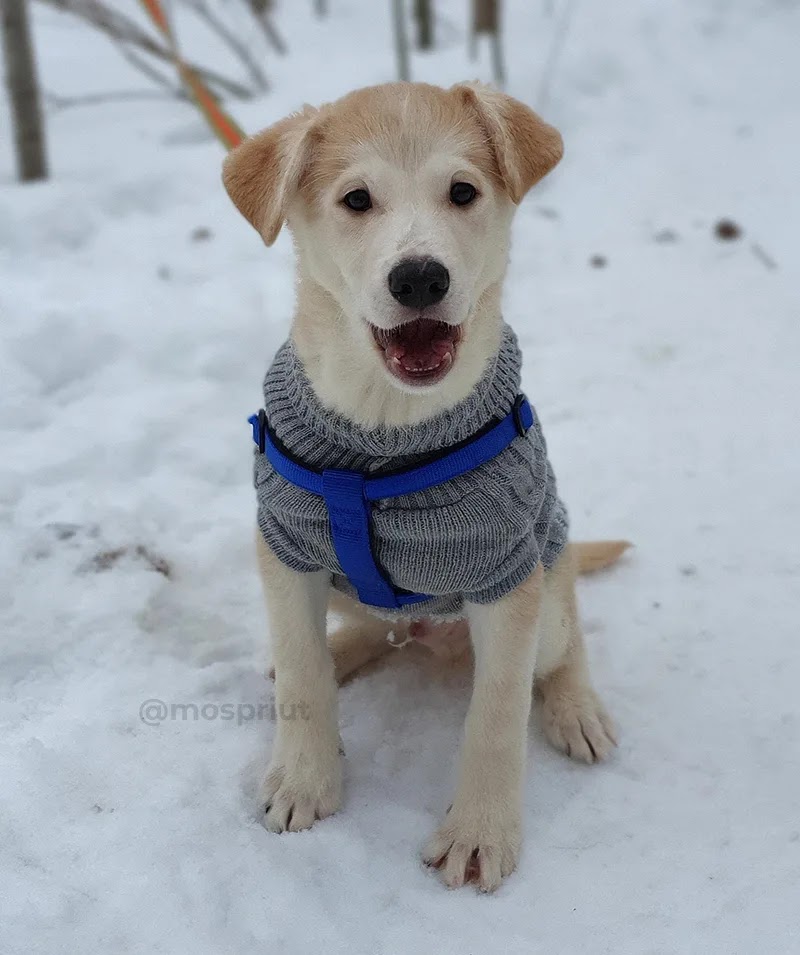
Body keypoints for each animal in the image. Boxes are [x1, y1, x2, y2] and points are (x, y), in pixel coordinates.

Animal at [222, 84, 628, 896]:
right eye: (356, 199)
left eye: (462, 191)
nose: (419, 279)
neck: (386, 429)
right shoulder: (283, 548)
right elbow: (304, 680)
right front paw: (304, 780)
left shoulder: (506, 577)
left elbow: (497, 718)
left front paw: (479, 833)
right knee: (365, 632)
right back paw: (337, 648)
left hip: (550, 591)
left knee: (567, 647)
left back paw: (577, 710)